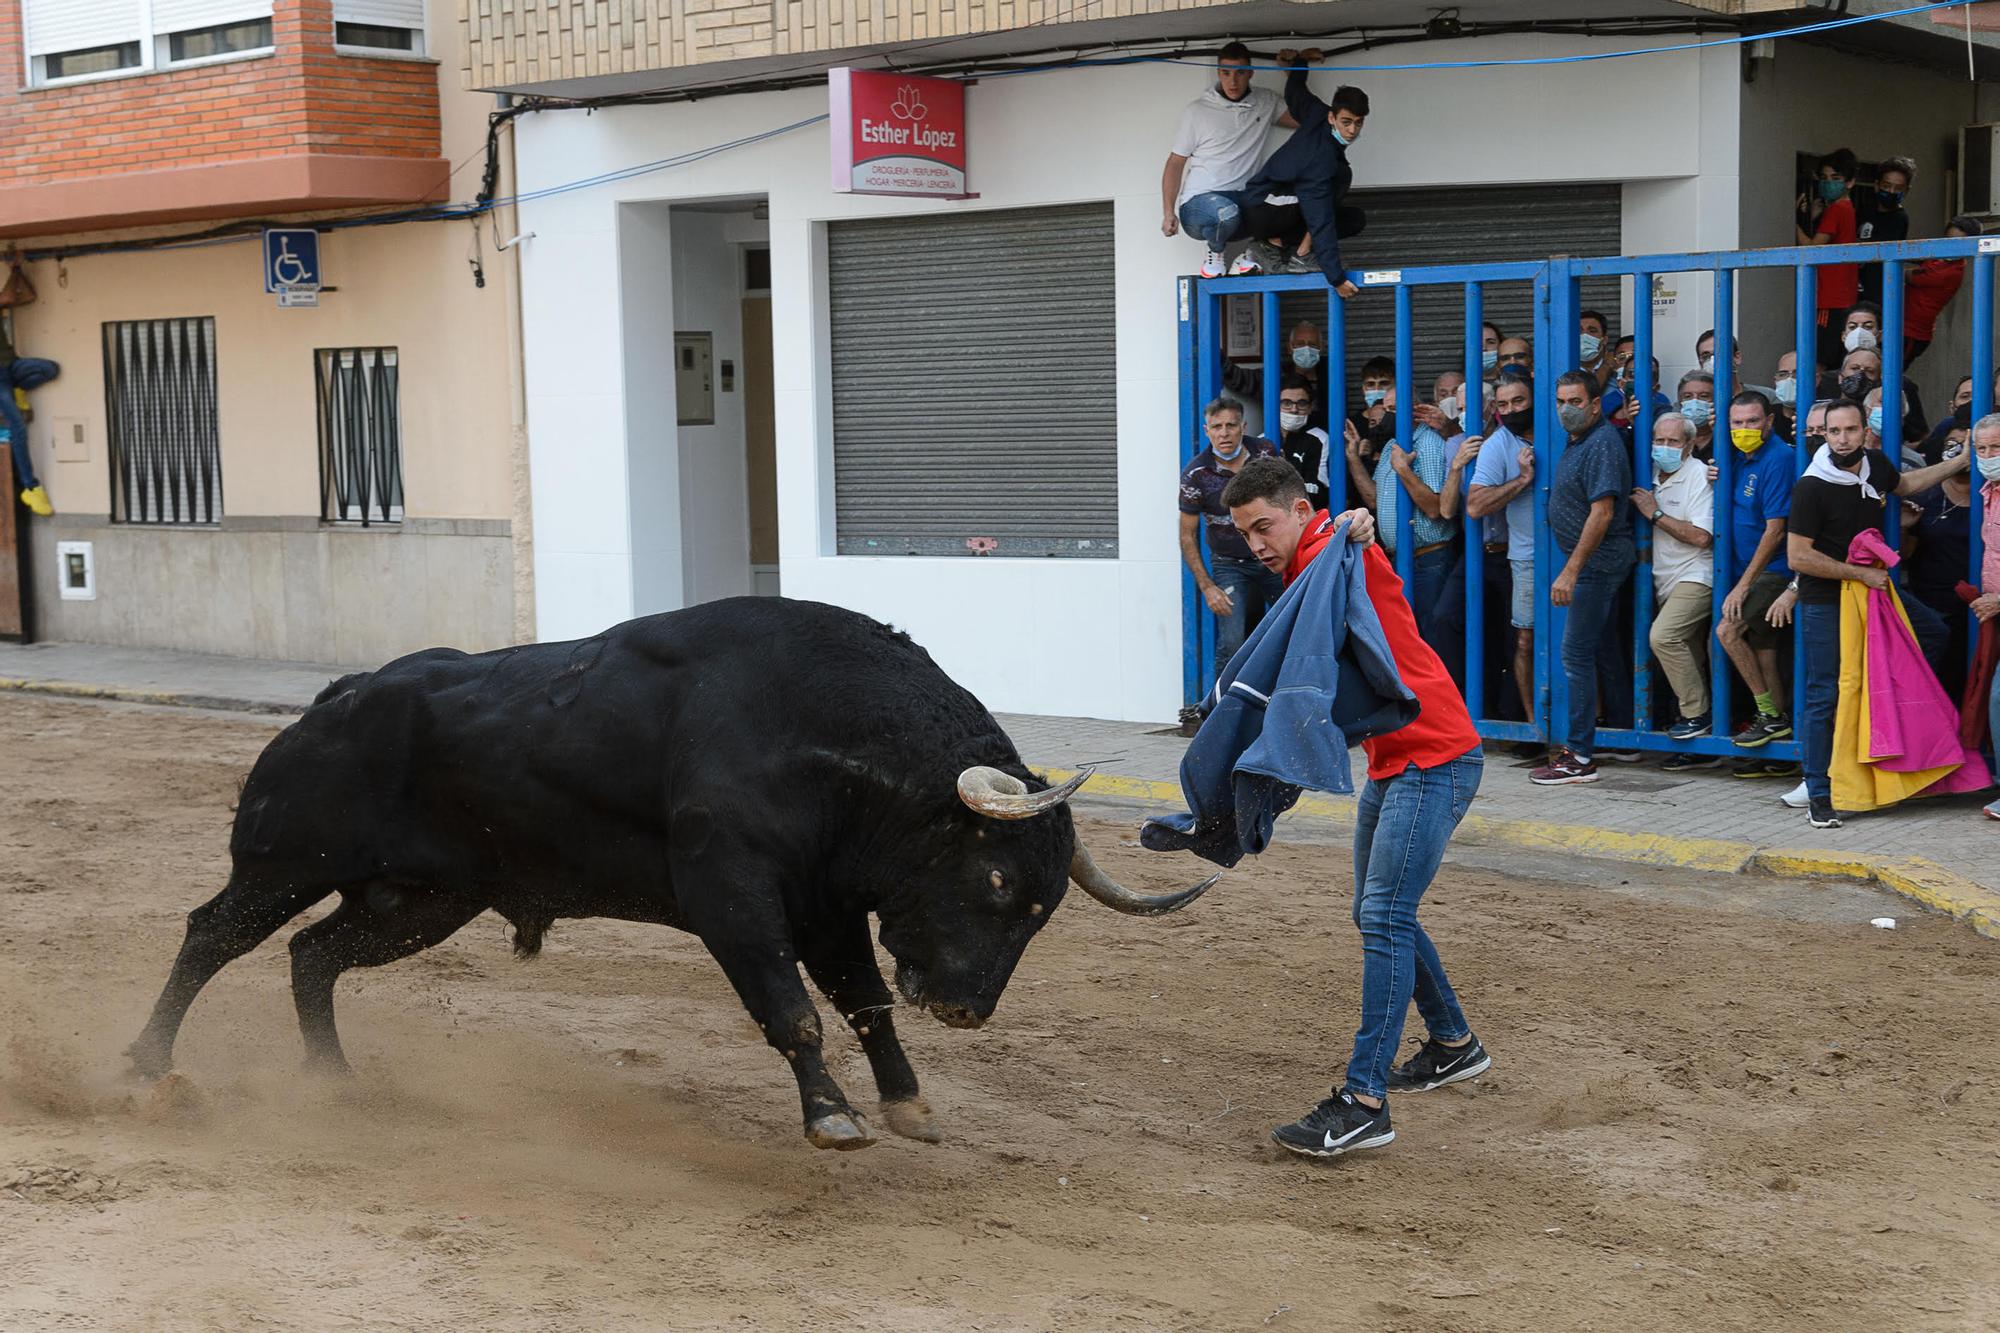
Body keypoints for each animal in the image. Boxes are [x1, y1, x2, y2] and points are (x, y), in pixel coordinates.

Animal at [133, 592, 1216, 1144]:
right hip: (284, 860)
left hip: (422, 900)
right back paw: (149, 1068)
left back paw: (334, 1080)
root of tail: (336, 697)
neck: (823, 736)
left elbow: (863, 1002)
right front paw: (832, 1117)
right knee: (212, 934)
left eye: (1042, 910)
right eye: (993, 882)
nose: (966, 1008)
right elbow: (793, 1008)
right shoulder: (730, 895)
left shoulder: (826, 907)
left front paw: (908, 1103)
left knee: (313, 955)